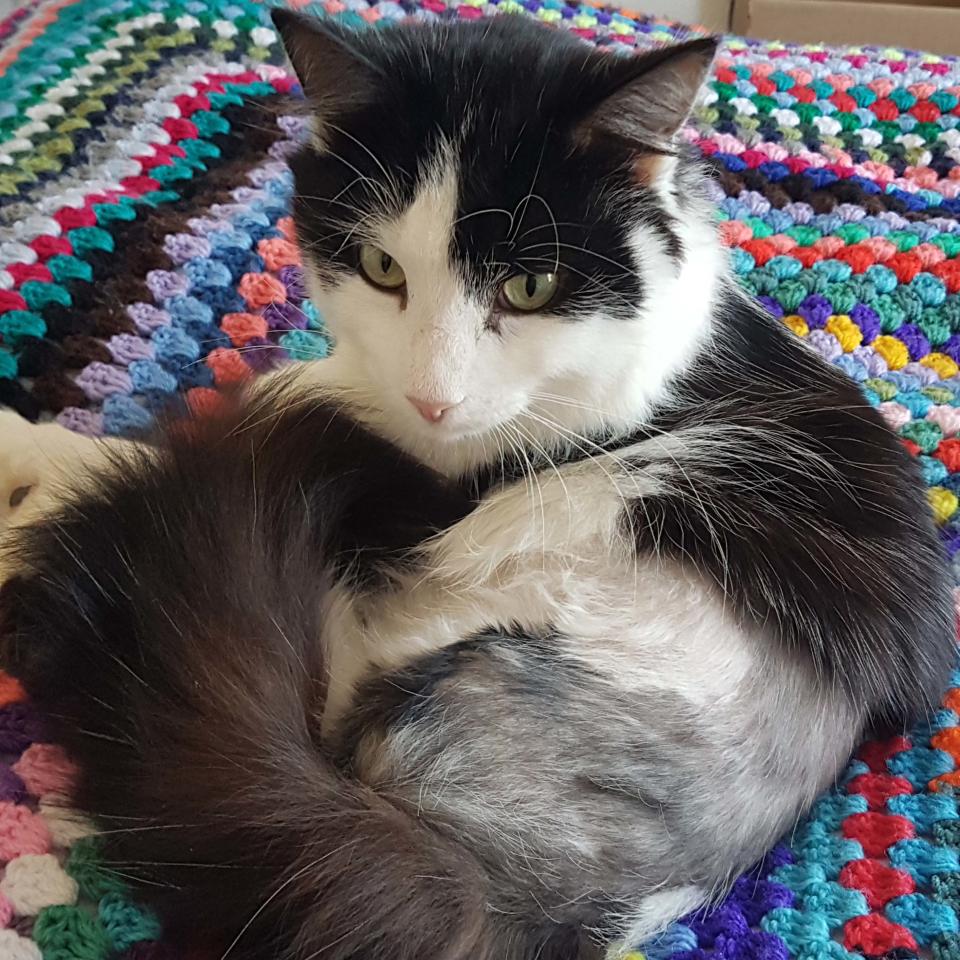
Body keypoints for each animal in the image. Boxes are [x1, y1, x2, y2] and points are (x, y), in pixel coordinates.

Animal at [0, 13, 952, 960]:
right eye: (382, 269)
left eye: (530, 286)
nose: (433, 397)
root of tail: (504, 894)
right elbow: (293, 384)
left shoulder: (429, 472)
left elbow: (216, 418)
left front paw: (36, 485)